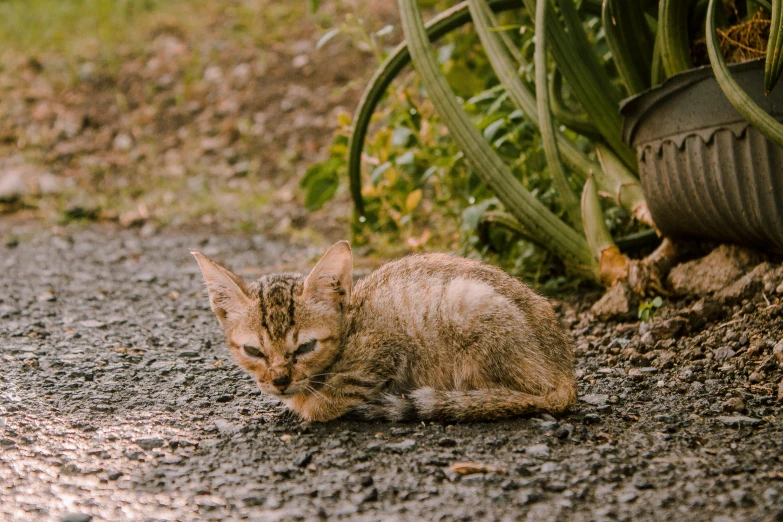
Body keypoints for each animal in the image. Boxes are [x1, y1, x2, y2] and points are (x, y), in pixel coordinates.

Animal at [193, 242, 580, 420]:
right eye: (253, 351)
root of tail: (566, 374)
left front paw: (309, 404)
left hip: (468, 303)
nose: (279, 380)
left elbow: (326, 401)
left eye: (305, 347)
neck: (351, 325)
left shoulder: (383, 351)